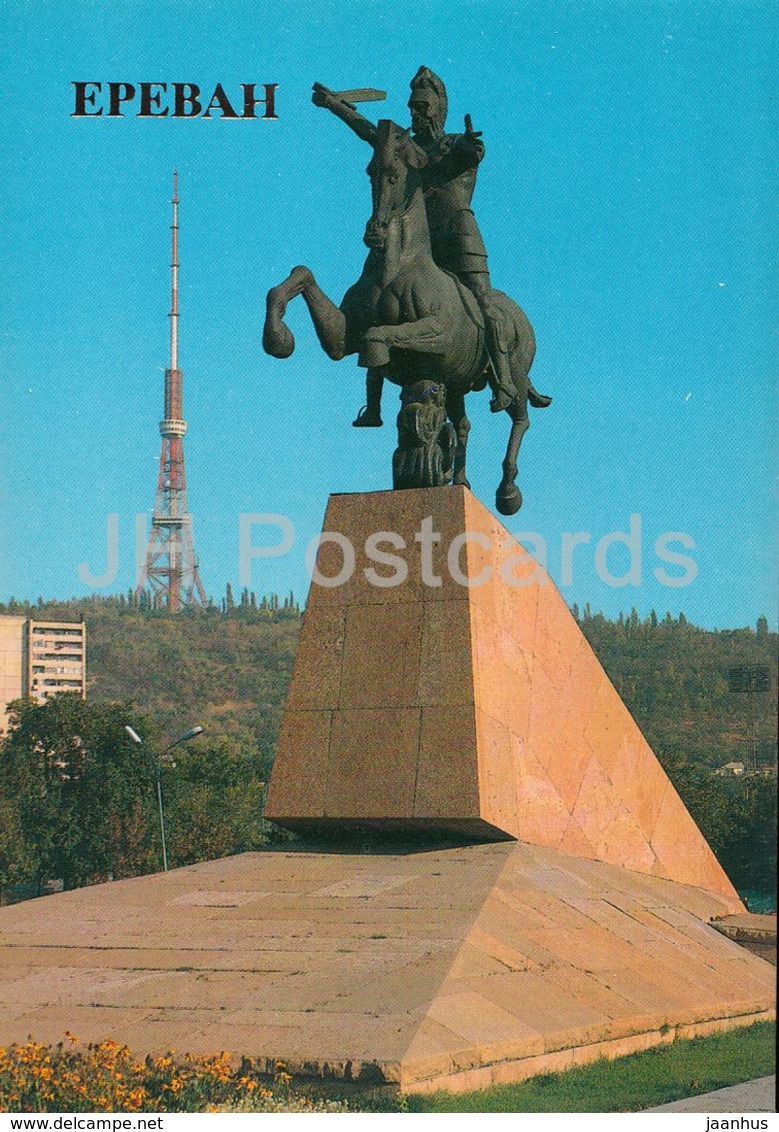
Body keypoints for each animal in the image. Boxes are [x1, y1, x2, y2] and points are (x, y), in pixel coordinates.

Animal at [261, 116, 548, 513]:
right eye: (370, 171)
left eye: (395, 174)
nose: (375, 232)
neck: (395, 269)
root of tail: (522, 318)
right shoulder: (342, 339)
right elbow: (301, 276)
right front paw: (278, 339)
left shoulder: (438, 335)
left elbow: (377, 334)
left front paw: (376, 357)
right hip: (455, 383)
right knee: (463, 425)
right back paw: (459, 480)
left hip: (516, 377)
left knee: (520, 420)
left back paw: (507, 491)